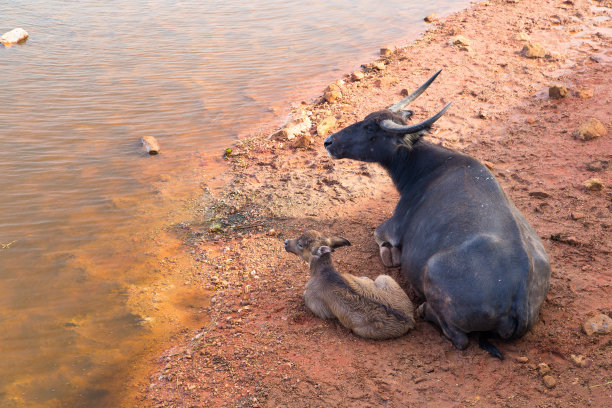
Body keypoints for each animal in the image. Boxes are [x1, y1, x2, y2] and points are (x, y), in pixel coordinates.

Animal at [322, 71, 552, 356]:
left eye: (370, 129)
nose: (329, 141)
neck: (425, 167)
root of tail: (520, 299)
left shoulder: (392, 226)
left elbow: (378, 236)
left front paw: (390, 254)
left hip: (432, 275)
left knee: (459, 338)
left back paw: (424, 310)